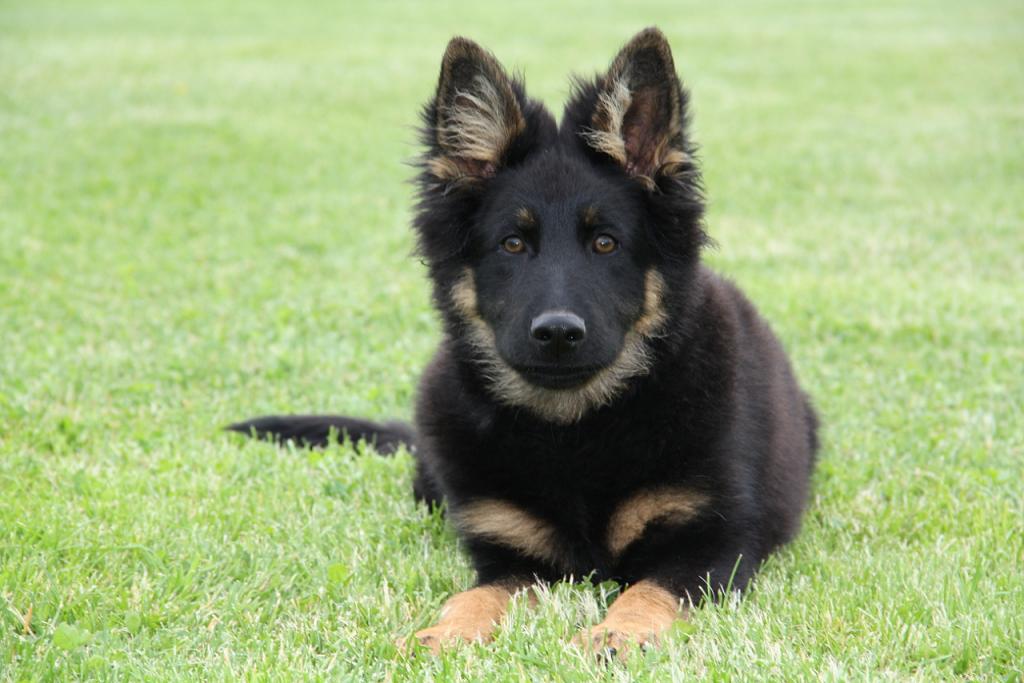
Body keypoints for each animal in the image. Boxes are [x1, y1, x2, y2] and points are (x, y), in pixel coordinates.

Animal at [231, 27, 819, 657]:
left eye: (606, 243)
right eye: (512, 244)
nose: (557, 333)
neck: (574, 432)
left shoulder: (713, 546)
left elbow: (648, 591)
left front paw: (615, 634)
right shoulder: (510, 554)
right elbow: (475, 596)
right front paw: (443, 634)